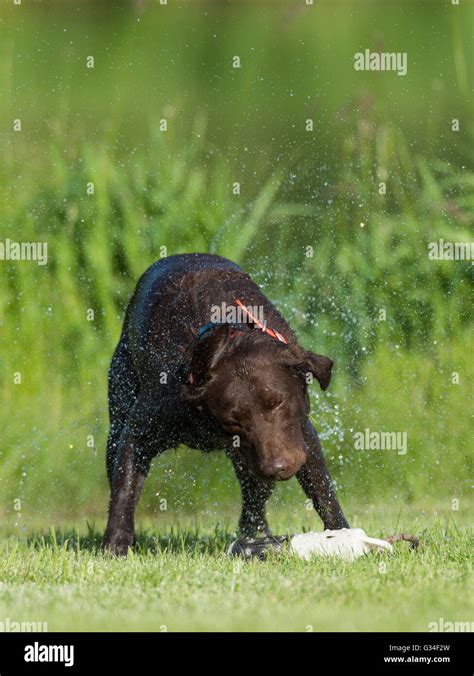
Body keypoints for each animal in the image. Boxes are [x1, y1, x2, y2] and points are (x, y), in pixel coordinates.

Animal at [103, 254, 348, 556]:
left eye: (277, 402)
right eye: (233, 422)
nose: (277, 467)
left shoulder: (301, 436)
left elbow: (322, 491)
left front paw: (342, 533)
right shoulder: (143, 427)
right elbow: (124, 488)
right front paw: (116, 544)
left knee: (255, 501)